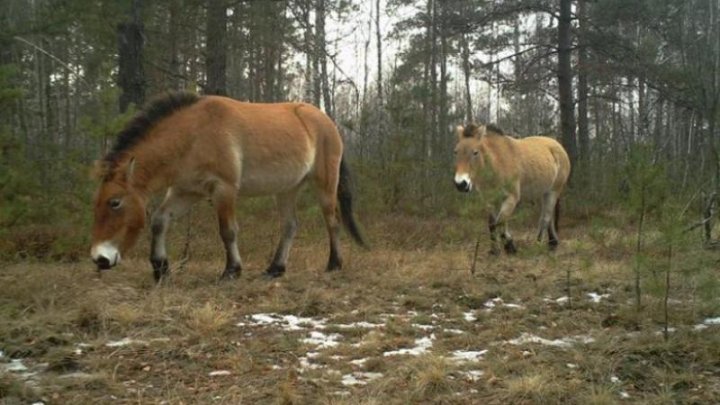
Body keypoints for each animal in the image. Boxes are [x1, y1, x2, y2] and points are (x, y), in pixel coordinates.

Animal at [91, 91, 366, 280]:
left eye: (115, 202)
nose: (99, 258)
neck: (192, 135)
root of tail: (328, 122)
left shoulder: (224, 189)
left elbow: (228, 231)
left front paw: (232, 271)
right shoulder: (185, 191)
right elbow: (159, 221)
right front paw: (161, 269)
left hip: (325, 184)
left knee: (332, 222)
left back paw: (334, 264)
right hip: (287, 189)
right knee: (290, 226)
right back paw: (275, 269)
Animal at [452, 124, 572, 254]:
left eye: (475, 152)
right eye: (456, 152)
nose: (461, 184)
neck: (497, 163)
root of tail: (558, 145)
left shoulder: (511, 198)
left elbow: (500, 221)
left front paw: (510, 246)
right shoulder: (489, 200)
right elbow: (492, 224)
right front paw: (495, 250)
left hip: (553, 191)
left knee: (545, 218)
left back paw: (538, 243)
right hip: (542, 193)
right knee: (548, 216)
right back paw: (552, 243)